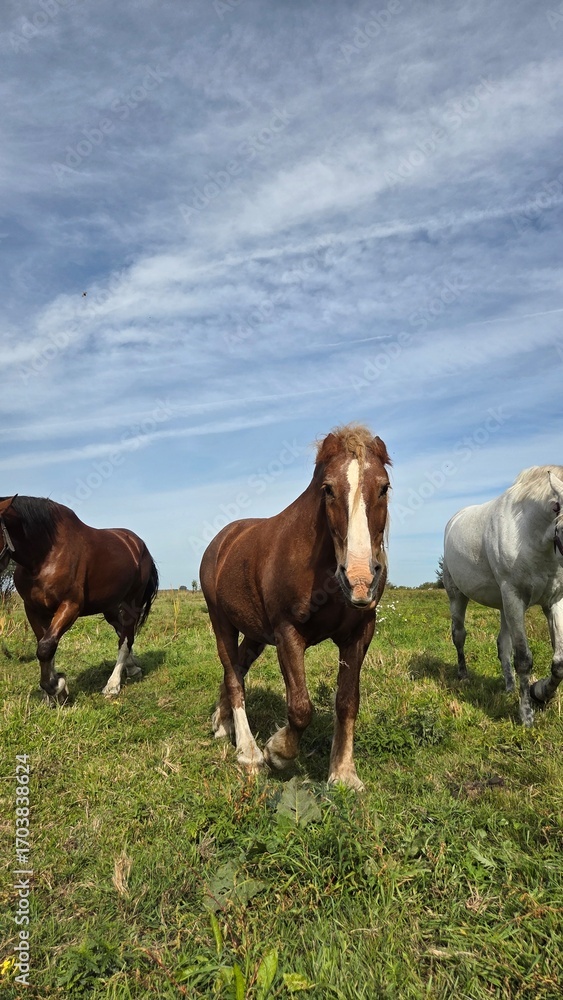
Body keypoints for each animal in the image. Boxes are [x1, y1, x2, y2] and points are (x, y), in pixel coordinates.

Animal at [0, 495, 159, 702]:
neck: (45, 555)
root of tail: (138, 545)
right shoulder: (33, 609)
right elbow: (46, 646)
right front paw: (52, 692)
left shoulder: (70, 606)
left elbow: (45, 647)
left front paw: (55, 687)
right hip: (110, 606)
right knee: (122, 630)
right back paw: (131, 668)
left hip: (133, 601)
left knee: (125, 638)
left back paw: (112, 685)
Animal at [200, 424, 391, 790]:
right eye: (328, 489)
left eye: (384, 487)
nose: (360, 579)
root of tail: (222, 540)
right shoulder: (288, 634)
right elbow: (300, 707)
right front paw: (277, 752)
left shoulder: (359, 634)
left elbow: (347, 701)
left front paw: (343, 773)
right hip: (221, 624)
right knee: (233, 678)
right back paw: (248, 751)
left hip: (255, 634)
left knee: (237, 669)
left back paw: (222, 722)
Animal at [443, 466, 563, 726]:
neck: (530, 533)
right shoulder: (514, 598)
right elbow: (524, 659)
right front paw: (526, 715)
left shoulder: (554, 602)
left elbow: (559, 661)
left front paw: (541, 693)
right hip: (458, 596)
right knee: (459, 635)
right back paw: (464, 675)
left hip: (503, 607)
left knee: (502, 645)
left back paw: (509, 687)